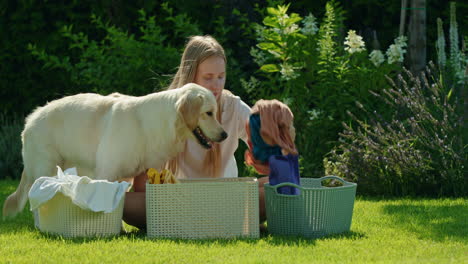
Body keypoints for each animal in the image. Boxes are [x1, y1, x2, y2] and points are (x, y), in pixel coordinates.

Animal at [2, 82, 227, 219]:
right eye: (209, 113)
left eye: (215, 112)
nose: (224, 134)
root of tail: (31, 118)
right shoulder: (107, 172)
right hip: (44, 167)